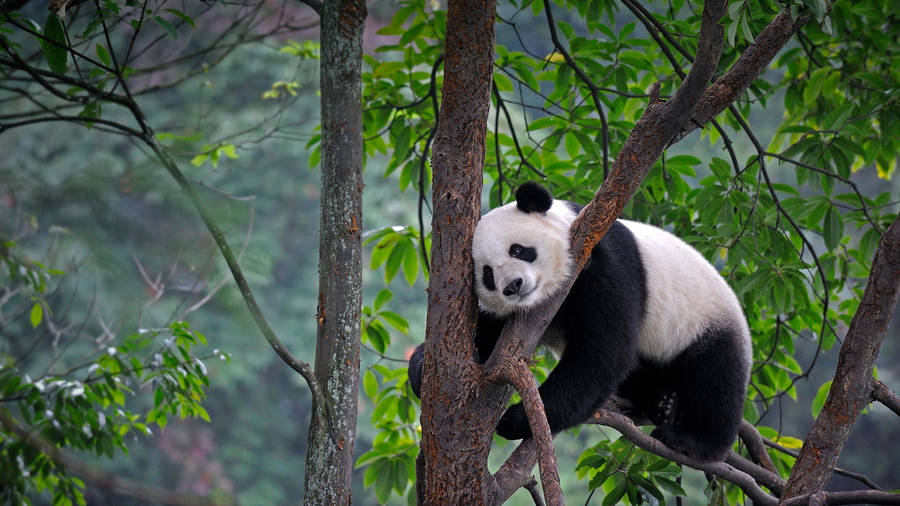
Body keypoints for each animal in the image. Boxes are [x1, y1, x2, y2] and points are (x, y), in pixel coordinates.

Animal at [409, 181, 752, 462]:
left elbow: (602, 351)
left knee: (715, 378)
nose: (513, 286)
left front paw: (517, 419)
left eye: (518, 249)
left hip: (707, 321)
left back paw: (691, 440)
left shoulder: (603, 262)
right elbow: (487, 336)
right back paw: (659, 404)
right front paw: (422, 368)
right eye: (488, 275)